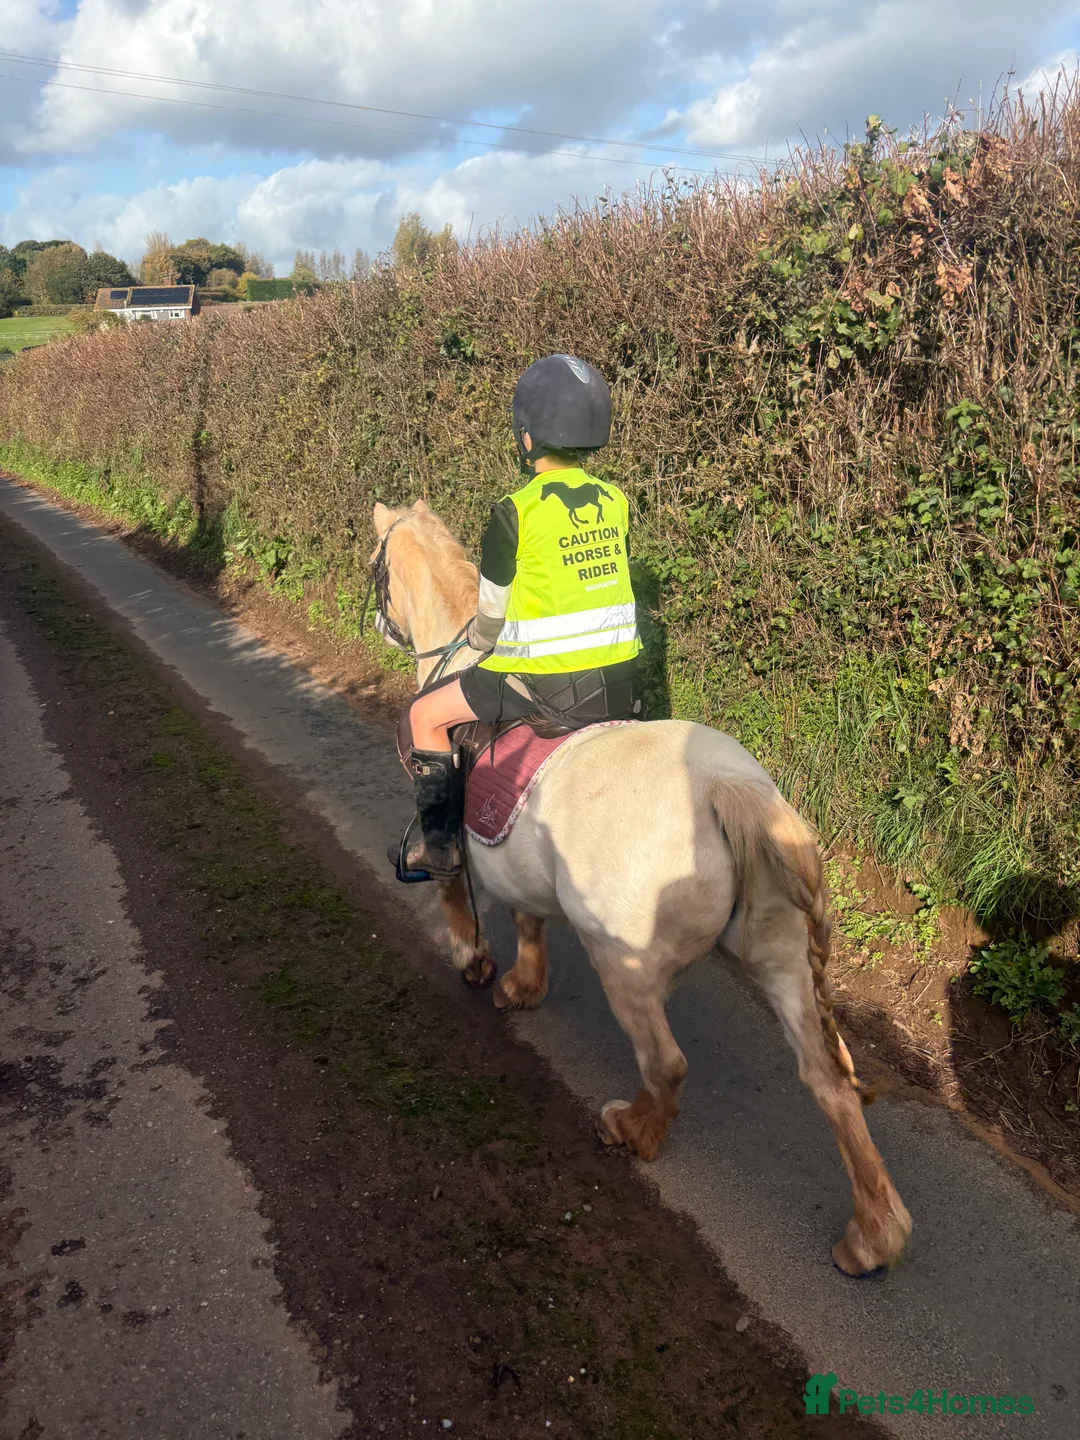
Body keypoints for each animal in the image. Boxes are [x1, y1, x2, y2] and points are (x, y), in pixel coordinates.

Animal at [371, 499, 912, 1276]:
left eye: (375, 565)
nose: (381, 623)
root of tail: (729, 791)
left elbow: (459, 894)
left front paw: (477, 966)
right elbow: (529, 919)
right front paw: (523, 986)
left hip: (624, 967)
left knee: (666, 1065)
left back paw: (632, 1129)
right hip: (780, 959)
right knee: (829, 1085)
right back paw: (872, 1237)